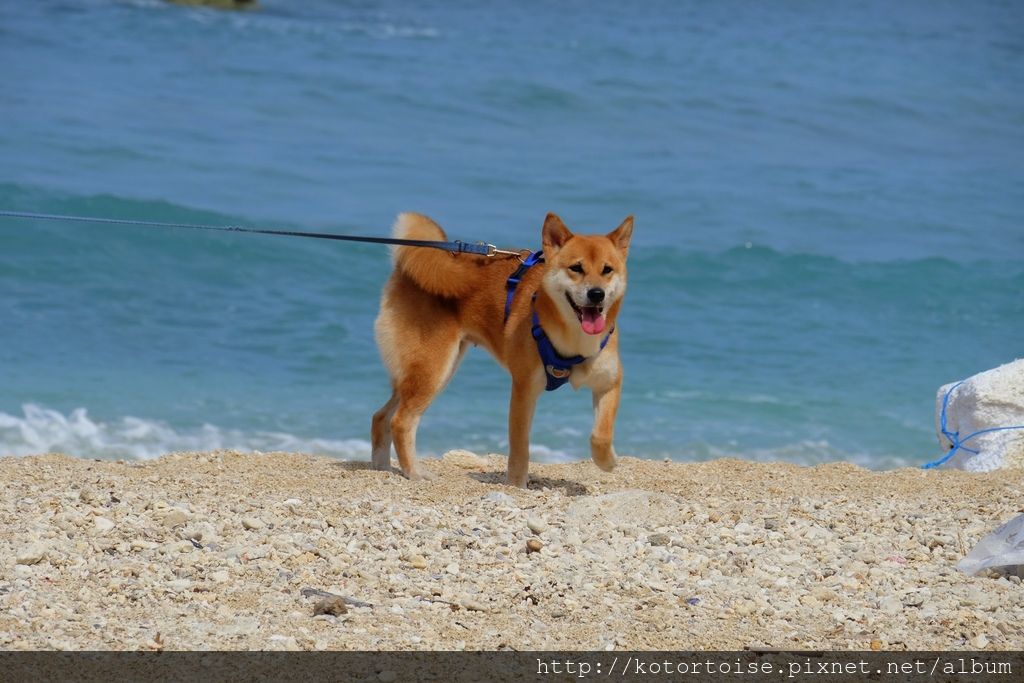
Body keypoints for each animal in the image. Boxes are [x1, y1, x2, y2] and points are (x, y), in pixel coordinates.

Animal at [368, 214, 630, 485]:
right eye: (576, 268)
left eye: (607, 270)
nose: (597, 294)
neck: (574, 340)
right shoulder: (524, 389)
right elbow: (520, 447)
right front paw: (516, 485)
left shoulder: (609, 383)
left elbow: (601, 435)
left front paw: (608, 462)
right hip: (432, 369)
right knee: (401, 421)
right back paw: (414, 472)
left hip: (431, 371)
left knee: (381, 416)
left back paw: (382, 467)